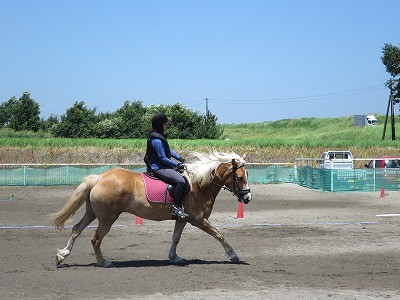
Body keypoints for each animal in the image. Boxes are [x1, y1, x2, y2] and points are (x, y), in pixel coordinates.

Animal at [51, 152, 252, 268]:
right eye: (239, 177)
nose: (248, 198)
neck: (198, 185)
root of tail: (99, 178)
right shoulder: (198, 219)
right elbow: (219, 234)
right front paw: (233, 255)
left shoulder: (182, 218)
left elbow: (176, 238)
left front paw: (174, 257)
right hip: (107, 218)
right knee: (95, 239)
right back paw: (104, 262)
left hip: (92, 213)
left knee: (76, 229)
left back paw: (62, 256)